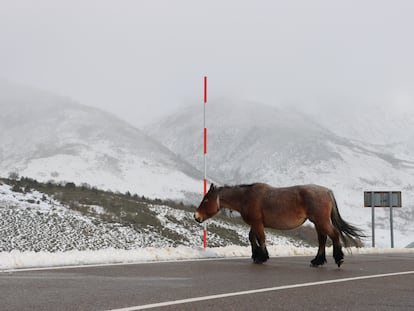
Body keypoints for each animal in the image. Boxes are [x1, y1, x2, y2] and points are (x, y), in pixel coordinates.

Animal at [192, 183, 364, 268]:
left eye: (206, 200)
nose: (196, 216)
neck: (246, 197)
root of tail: (327, 191)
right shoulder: (256, 224)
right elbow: (252, 237)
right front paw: (256, 255)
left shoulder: (257, 223)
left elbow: (261, 238)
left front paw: (262, 257)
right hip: (317, 222)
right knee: (322, 239)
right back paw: (317, 261)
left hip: (321, 221)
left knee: (334, 234)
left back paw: (338, 259)